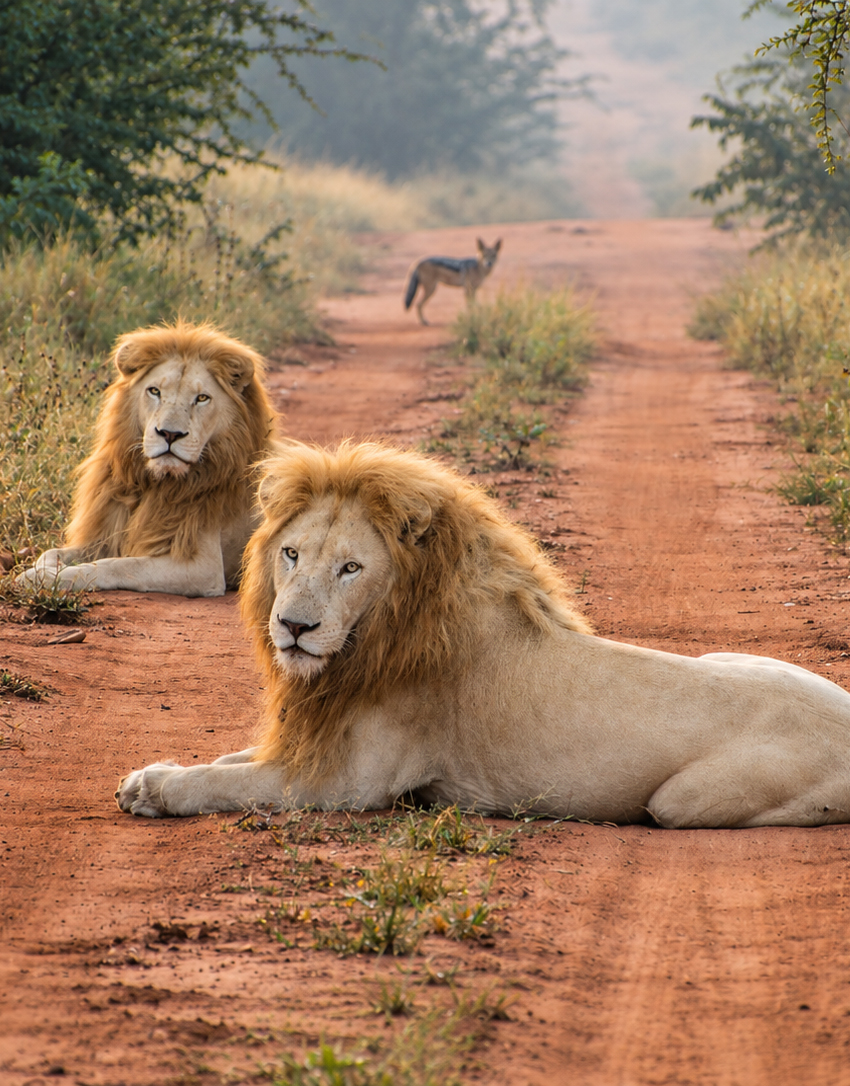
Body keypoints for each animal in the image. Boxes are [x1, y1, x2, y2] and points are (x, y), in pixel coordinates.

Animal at [18, 320, 281, 597]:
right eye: (154, 391)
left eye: (202, 398)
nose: (170, 434)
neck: (152, 484)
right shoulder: (104, 537)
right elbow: (51, 553)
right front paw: (40, 570)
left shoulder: (203, 567)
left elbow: (119, 565)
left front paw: (46, 578)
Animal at [117, 441, 850, 827]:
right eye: (292, 555)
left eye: (351, 568)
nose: (294, 627)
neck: (369, 643)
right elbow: (229, 760)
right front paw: (147, 774)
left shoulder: (349, 783)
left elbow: (225, 784)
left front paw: (158, 791)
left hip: (682, 801)